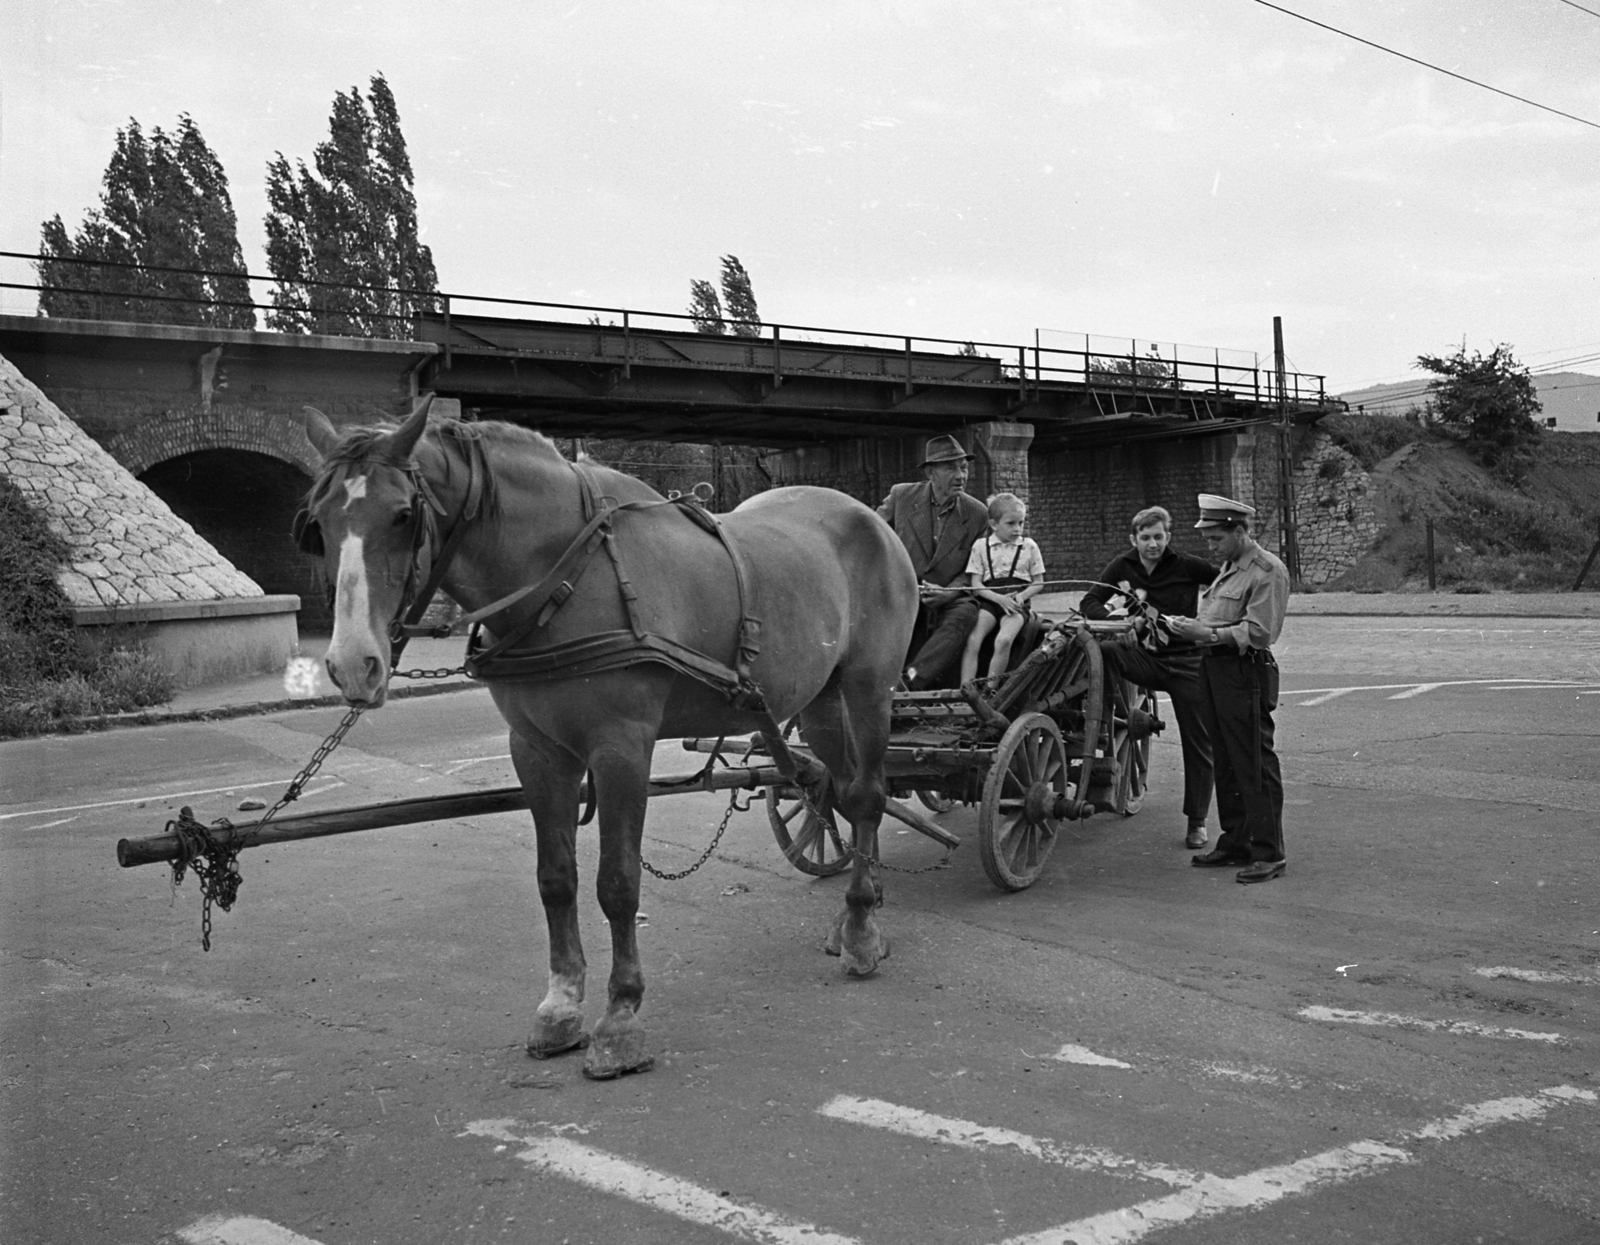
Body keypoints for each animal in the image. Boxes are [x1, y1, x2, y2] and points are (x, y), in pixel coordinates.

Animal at [300, 400, 921, 1075]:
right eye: (318, 522)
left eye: (402, 514)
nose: (352, 664)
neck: (565, 577)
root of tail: (872, 516)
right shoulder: (536, 750)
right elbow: (556, 878)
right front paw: (560, 1007)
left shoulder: (622, 748)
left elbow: (618, 884)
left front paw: (620, 1018)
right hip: (821, 700)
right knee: (839, 788)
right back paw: (863, 902)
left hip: (868, 688)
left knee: (867, 796)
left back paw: (860, 930)